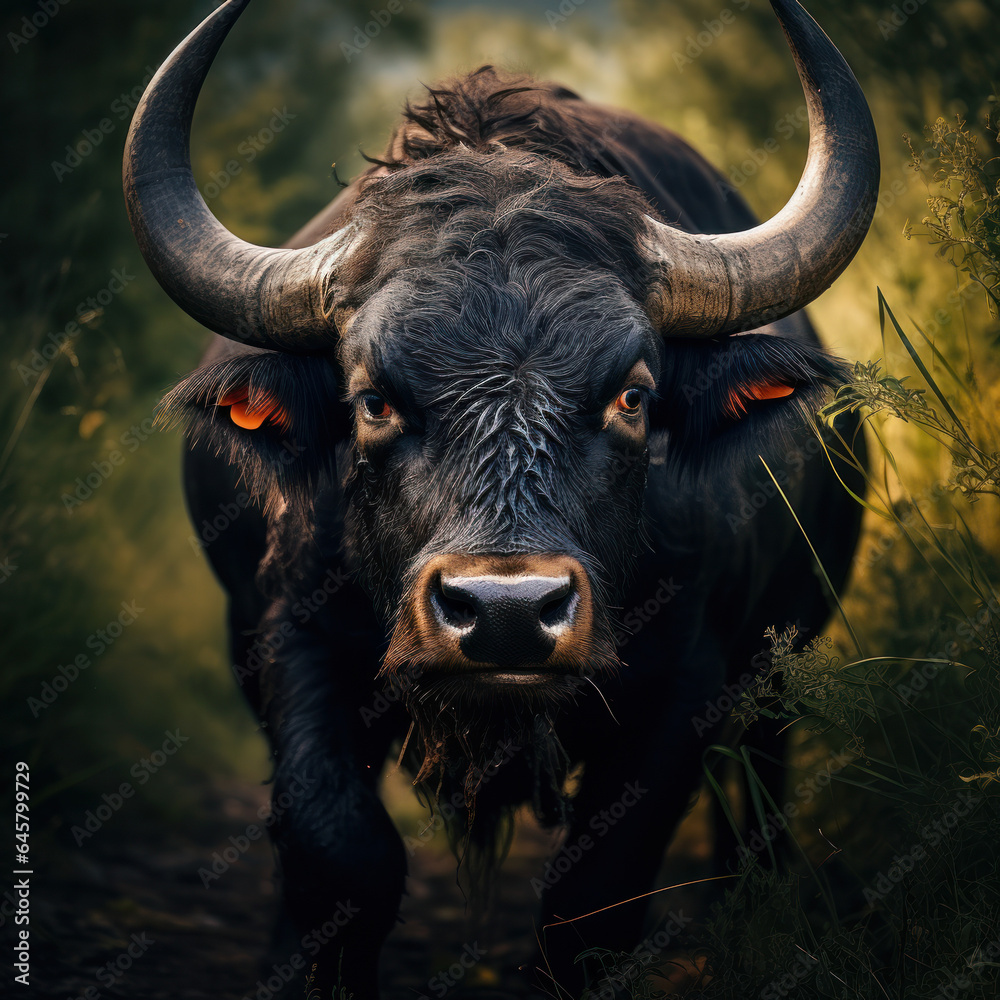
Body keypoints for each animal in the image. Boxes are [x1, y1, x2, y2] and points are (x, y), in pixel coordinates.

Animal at [122, 0, 878, 995]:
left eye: (633, 397)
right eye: (373, 399)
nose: (508, 612)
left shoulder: (691, 676)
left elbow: (595, 894)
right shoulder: (286, 631)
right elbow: (340, 855)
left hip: (780, 664)